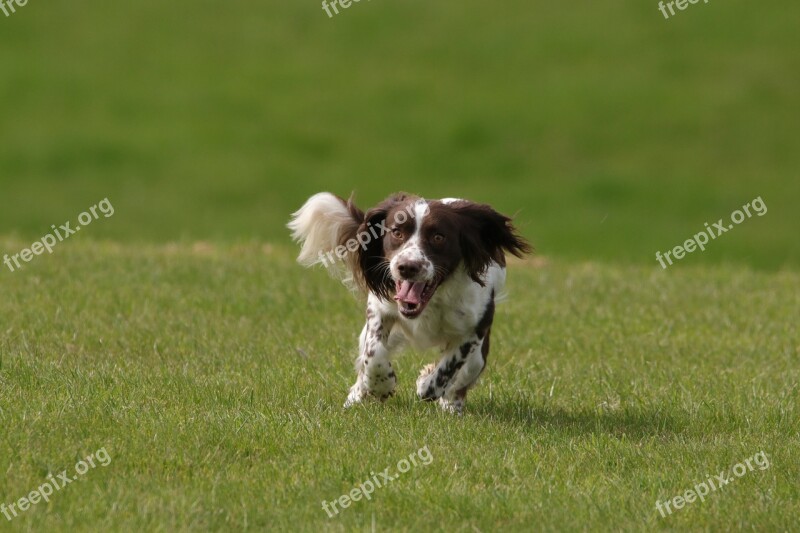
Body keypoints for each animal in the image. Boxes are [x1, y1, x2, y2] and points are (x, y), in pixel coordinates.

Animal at [288, 193, 532, 414]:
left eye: (438, 237)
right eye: (397, 232)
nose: (407, 266)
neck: (432, 302)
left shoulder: (475, 326)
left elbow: (451, 364)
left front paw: (427, 384)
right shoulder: (379, 308)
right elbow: (374, 353)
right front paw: (381, 385)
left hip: (478, 357)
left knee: (464, 377)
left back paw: (451, 405)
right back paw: (356, 397)